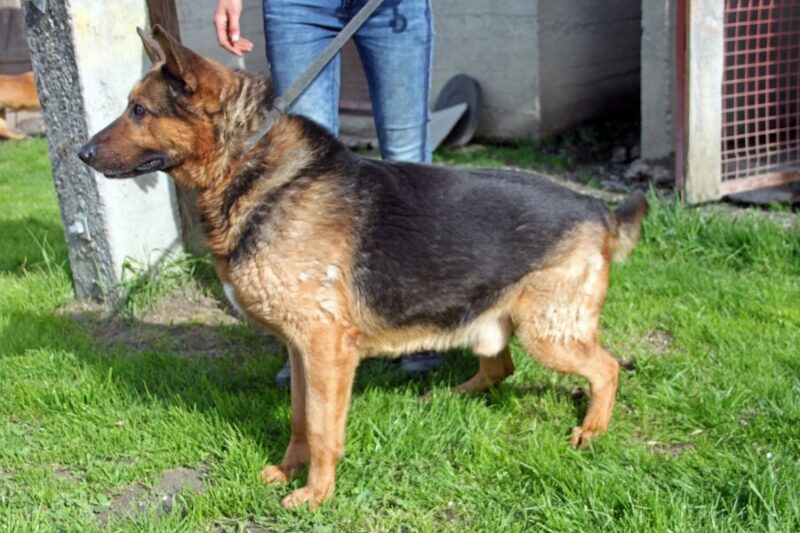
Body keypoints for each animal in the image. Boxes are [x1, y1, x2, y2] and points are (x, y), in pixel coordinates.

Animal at [78, 26, 647, 509]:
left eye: (138, 110)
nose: (79, 153)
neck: (248, 164)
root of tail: (597, 209)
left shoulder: (326, 349)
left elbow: (323, 428)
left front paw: (316, 495)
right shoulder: (302, 349)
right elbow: (300, 420)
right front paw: (288, 470)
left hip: (547, 333)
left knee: (606, 368)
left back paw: (592, 428)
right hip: (495, 321)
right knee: (500, 367)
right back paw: (448, 396)